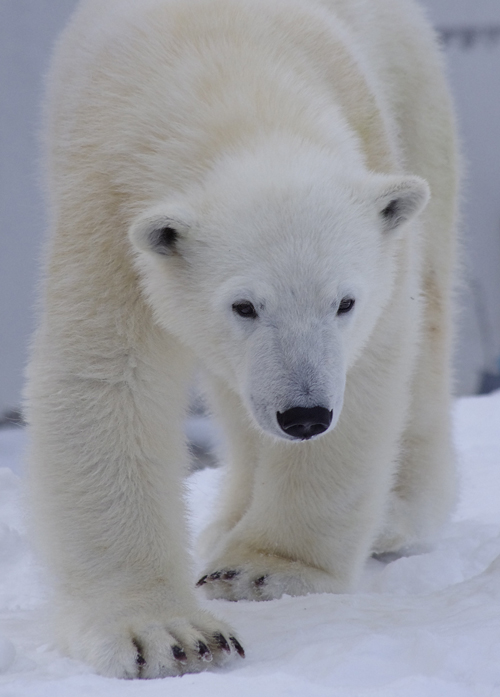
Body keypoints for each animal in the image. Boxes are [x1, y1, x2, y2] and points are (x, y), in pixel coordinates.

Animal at [25, 0, 458, 680]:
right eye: (244, 305)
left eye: (344, 301)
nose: (304, 415)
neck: (234, 82)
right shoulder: (112, 208)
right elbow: (105, 376)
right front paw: (169, 635)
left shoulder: (375, 194)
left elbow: (374, 366)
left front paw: (262, 572)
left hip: (417, 107)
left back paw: (395, 516)